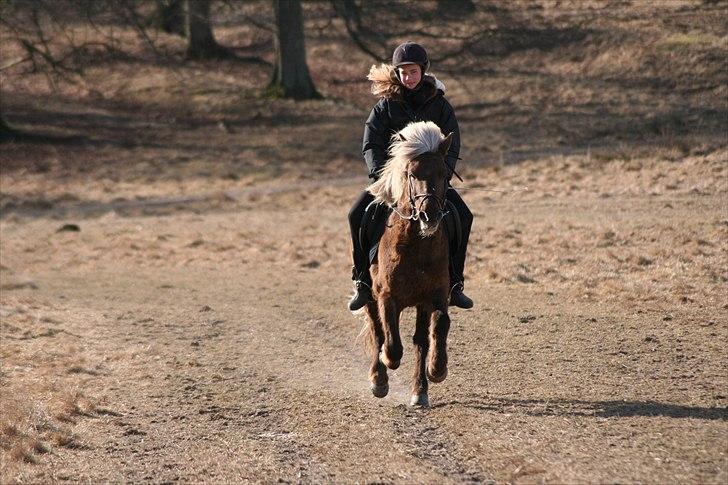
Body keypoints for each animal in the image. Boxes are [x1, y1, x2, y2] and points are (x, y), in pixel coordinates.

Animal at [362, 120, 452, 404]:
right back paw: (378, 380)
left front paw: (437, 370)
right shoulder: (387, 296)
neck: (417, 246)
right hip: (369, 296)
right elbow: (390, 342)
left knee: (419, 339)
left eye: (444, 174)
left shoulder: (435, 295)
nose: (429, 215)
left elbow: (438, 326)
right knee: (377, 329)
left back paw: (419, 391)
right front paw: (386, 362)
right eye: (411, 174)